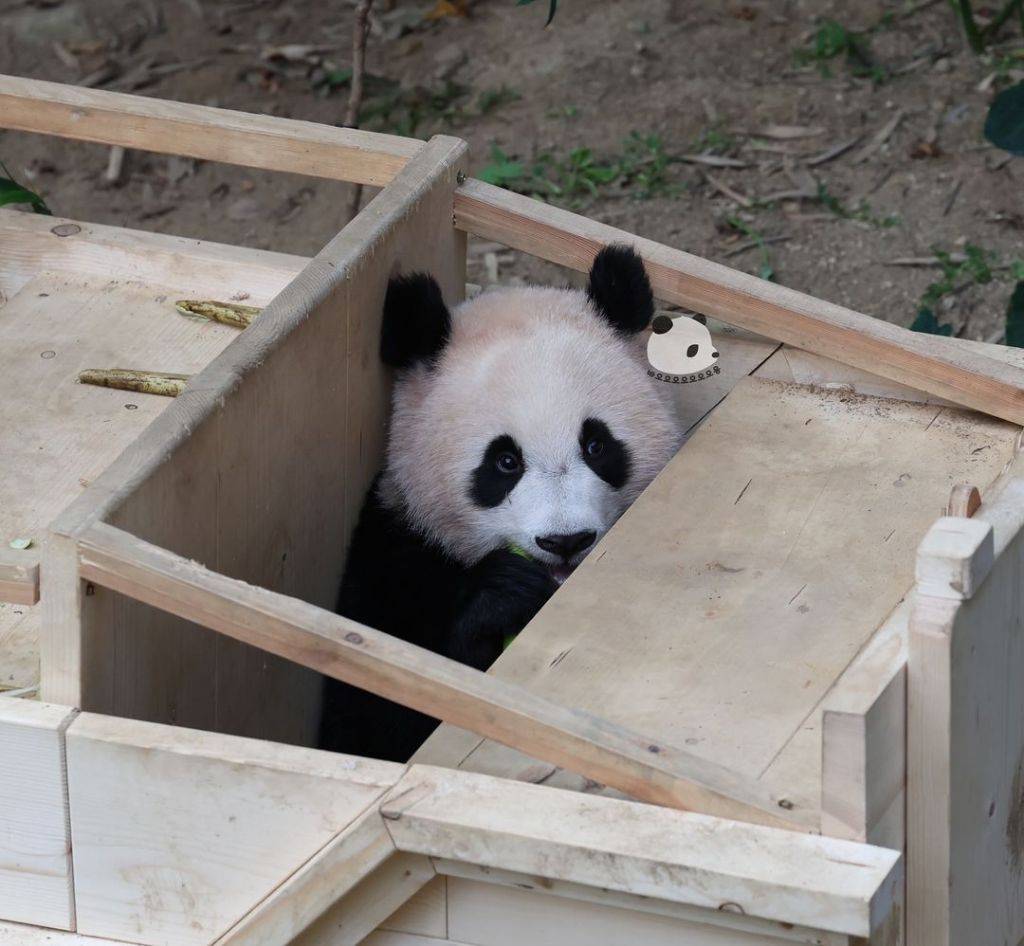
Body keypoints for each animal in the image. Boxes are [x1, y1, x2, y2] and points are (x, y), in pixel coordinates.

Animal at [319, 245, 684, 761]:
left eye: (596, 445)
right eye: (505, 461)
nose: (565, 541)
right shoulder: (391, 553)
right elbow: (369, 721)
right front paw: (504, 593)